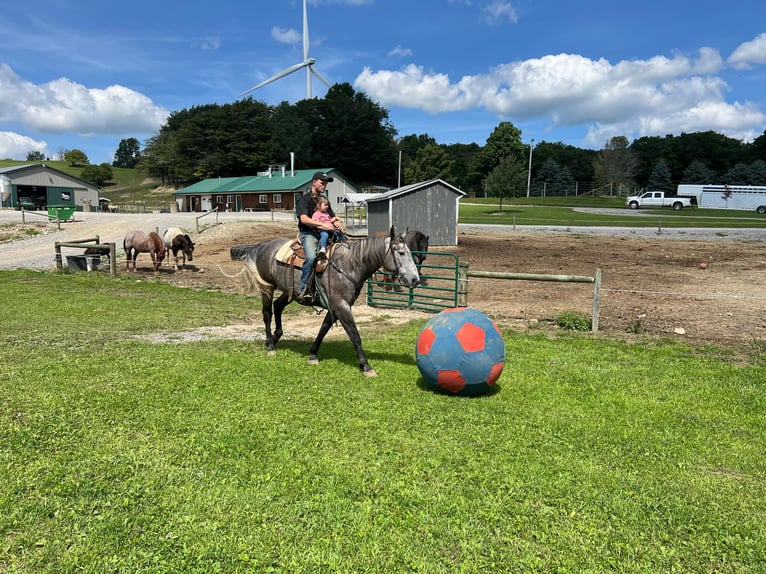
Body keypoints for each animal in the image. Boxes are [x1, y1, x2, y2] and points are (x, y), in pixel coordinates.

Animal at [230, 226, 420, 377]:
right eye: (401, 253)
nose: (415, 280)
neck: (349, 265)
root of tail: (263, 245)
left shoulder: (335, 306)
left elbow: (323, 329)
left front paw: (313, 354)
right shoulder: (342, 306)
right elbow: (355, 335)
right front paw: (366, 366)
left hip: (290, 291)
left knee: (278, 307)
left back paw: (276, 337)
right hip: (267, 287)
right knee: (267, 313)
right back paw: (270, 345)